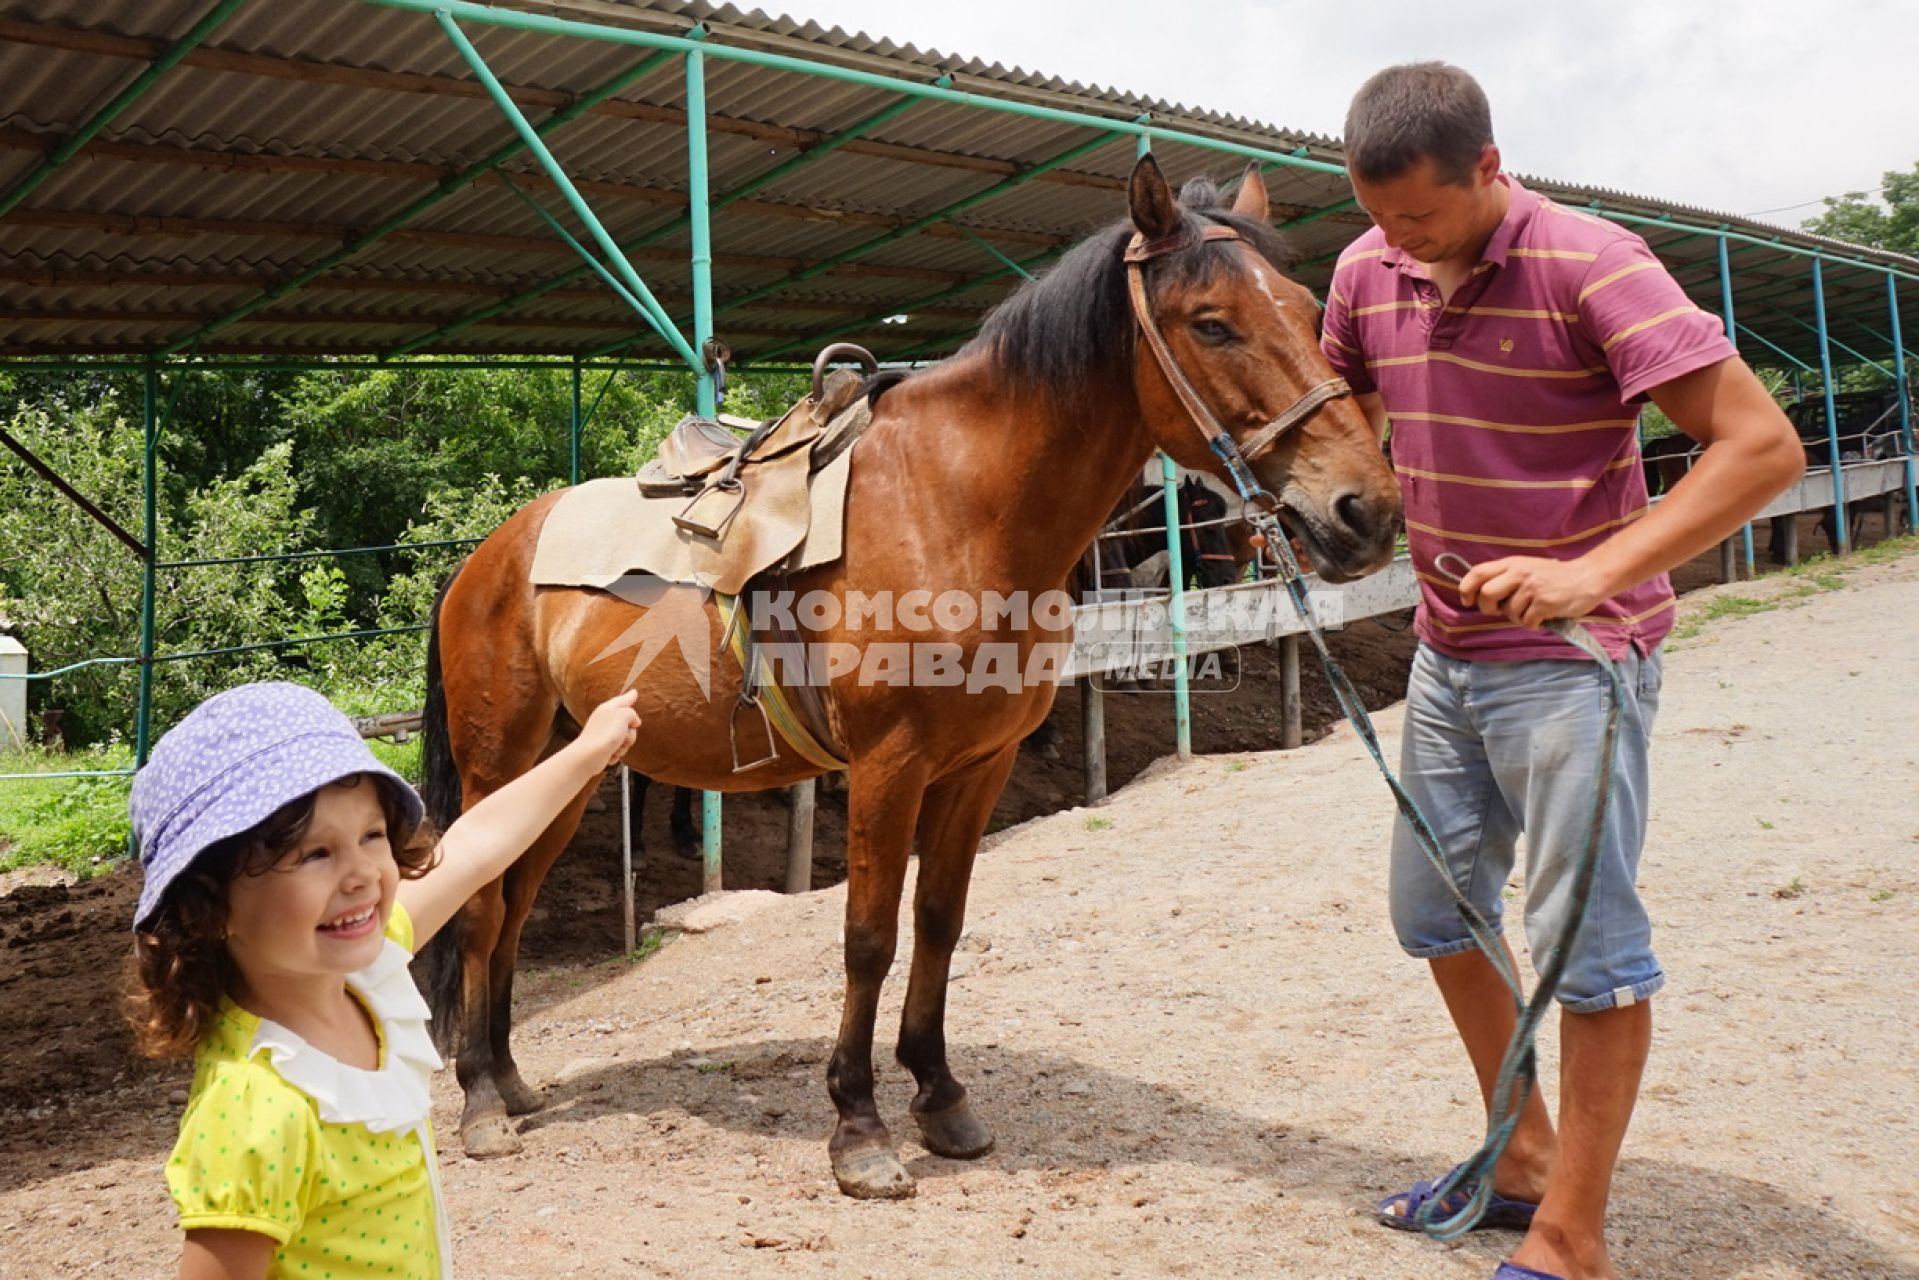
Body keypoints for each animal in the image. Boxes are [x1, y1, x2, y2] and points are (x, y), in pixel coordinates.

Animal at [420, 157, 1404, 1205]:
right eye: (1211, 322)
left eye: (1308, 311)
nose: (1364, 511)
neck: (954, 506)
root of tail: (489, 554)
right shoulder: (886, 769)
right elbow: (868, 936)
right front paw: (858, 1128)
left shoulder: (977, 767)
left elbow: (938, 922)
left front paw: (939, 1096)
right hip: (499, 762)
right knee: (481, 908)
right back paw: (479, 1105)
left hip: (565, 772)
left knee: (511, 905)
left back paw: (511, 1080)